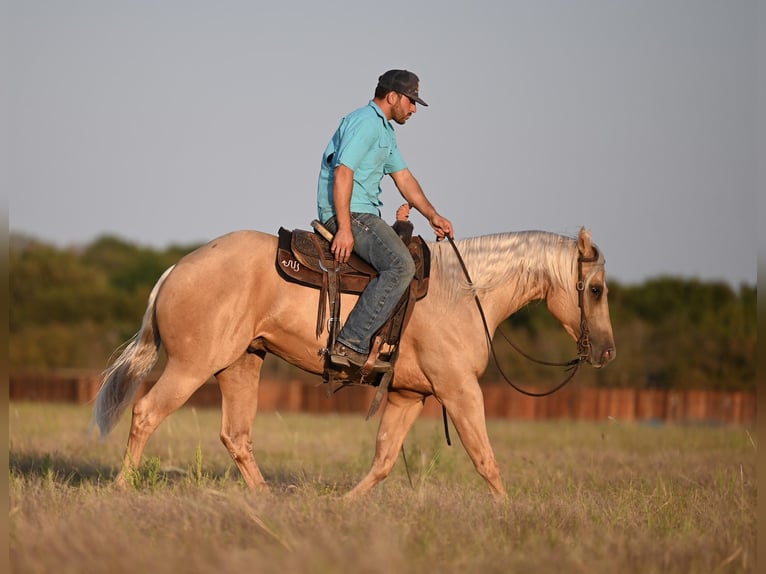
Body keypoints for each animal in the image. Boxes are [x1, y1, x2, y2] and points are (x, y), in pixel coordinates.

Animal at [93, 226, 616, 500]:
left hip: (241, 365)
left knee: (236, 436)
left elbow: (383, 460)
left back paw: (266, 501)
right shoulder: (459, 390)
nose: (607, 352)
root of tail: (175, 269)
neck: (464, 293)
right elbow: (485, 458)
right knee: (145, 414)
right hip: (191, 367)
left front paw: (345, 507)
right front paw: (507, 514)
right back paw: (121, 488)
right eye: (595, 289)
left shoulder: (408, 396)